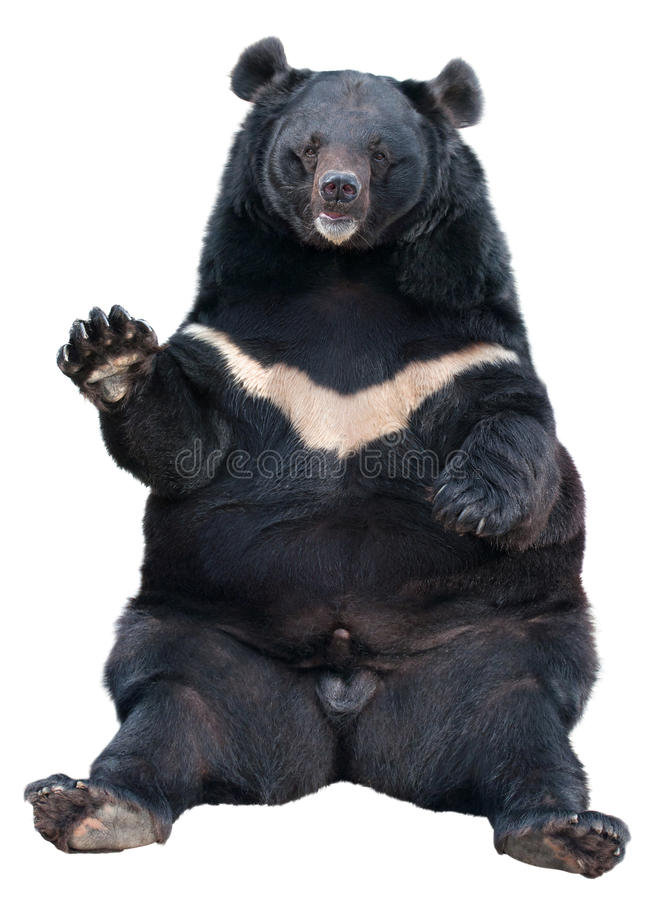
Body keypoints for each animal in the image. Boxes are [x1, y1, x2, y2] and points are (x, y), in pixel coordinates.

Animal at [25, 37, 629, 877]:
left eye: (380, 152)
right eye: (305, 148)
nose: (338, 191)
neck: (344, 274)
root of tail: (344, 735)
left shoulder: (463, 347)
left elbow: (521, 437)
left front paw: (468, 503)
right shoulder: (239, 345)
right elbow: (188, 448)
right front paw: (110, 347)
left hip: (500, 647)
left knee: (524, 729)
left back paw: (567, 832)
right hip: (203, 641)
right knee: (166, 712)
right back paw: (90, 805)